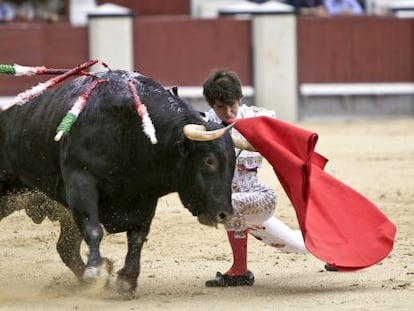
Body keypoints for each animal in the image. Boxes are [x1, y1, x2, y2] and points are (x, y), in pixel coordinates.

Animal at [0, 69, 236, 298]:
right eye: (209, 160)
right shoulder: (80, 183)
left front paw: (126, 282)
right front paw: (95, 271)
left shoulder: (144, 195)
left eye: (234, 162)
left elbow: (137, 236)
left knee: (66, 247)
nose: (224, 214)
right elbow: (94, 229)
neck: (131, 131)